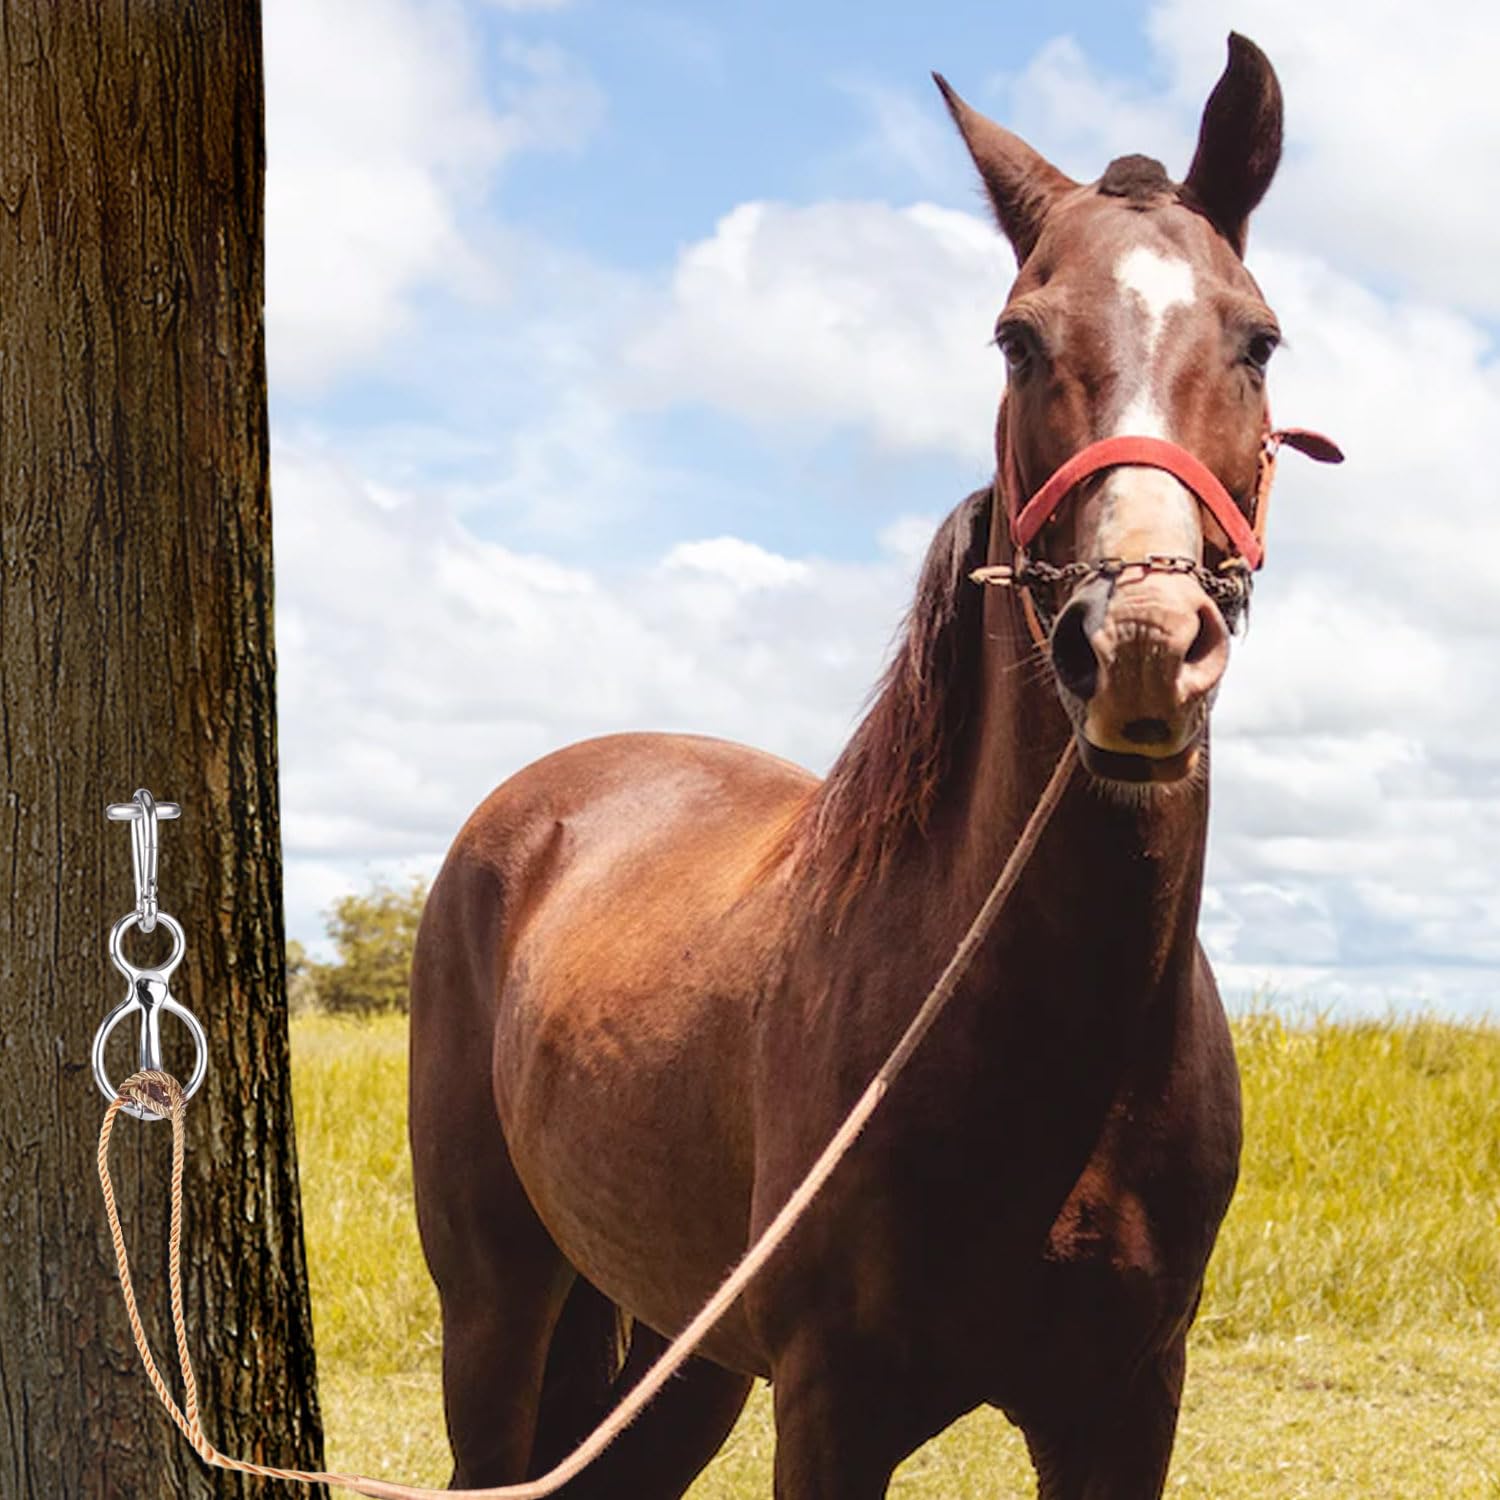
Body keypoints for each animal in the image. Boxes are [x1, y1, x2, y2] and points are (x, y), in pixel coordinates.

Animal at [409, 33, 1335, 1500]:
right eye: (1019, 338)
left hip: (683, 1358)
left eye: (1258, 337)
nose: (1139, 641)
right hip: (498, 1307)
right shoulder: (833, 1406)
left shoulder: (1126, 1406)